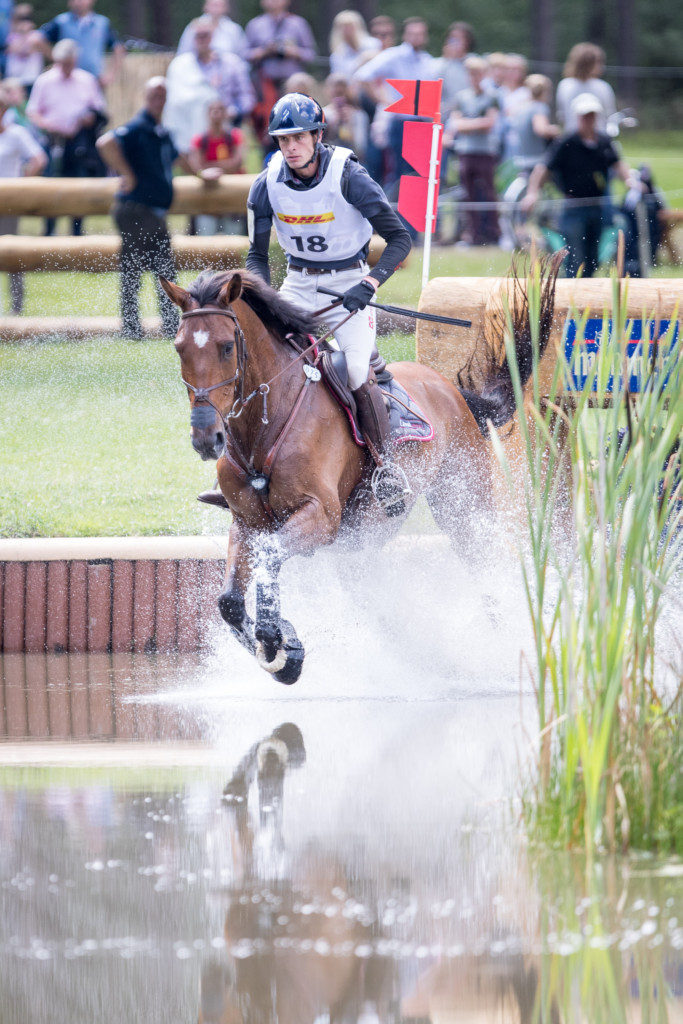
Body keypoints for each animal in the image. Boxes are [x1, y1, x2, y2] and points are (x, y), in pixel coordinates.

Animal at [161, 260, 561, 684]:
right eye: (180, 348)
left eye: (226, 346)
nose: (207, 437)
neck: (264, 425)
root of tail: (448, 387)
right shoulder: (247, 523)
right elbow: (230, 601)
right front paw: (283, 646)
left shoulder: (320, 517)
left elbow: (269, 559)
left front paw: (276, 640)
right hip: (363, 538)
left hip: (461, 505)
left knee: (484, 560)